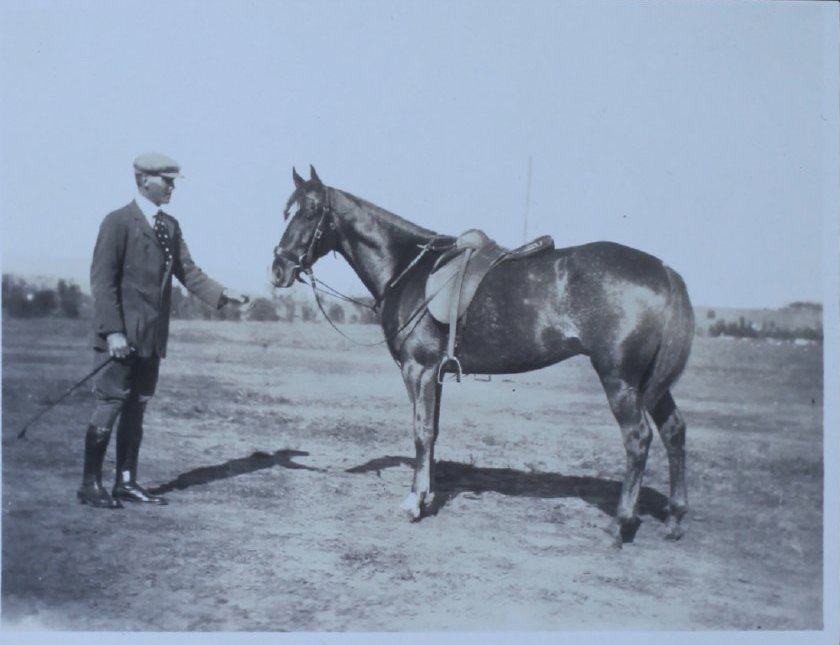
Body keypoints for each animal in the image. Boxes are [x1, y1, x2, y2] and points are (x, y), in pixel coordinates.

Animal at [272, 166, 694, 546]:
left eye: (310, 212)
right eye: (286, 211)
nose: (278, 269)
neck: (407, 267)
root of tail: (665, 271)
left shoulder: (417, 370)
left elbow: (421, 432)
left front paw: (413, 502)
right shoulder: (436, 373)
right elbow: (433, 432)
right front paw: (427, 495)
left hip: (620, 380)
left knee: (638, 439)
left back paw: (619, 525)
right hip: (648, 383)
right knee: (674, 431)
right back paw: (674, 520)